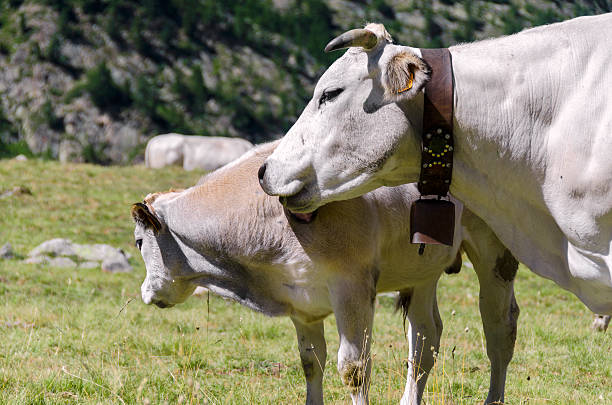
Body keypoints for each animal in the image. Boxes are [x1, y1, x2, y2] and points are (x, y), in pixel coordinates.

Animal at [131, 142, 520, 404]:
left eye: (137, 242)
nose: (146, 293)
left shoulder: (352, 287)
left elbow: (353, 369)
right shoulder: (300, 302)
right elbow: (311, 362)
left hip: (495, 253)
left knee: (500, 330)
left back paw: (494, 397)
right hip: (422, 271)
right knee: (425, 340)